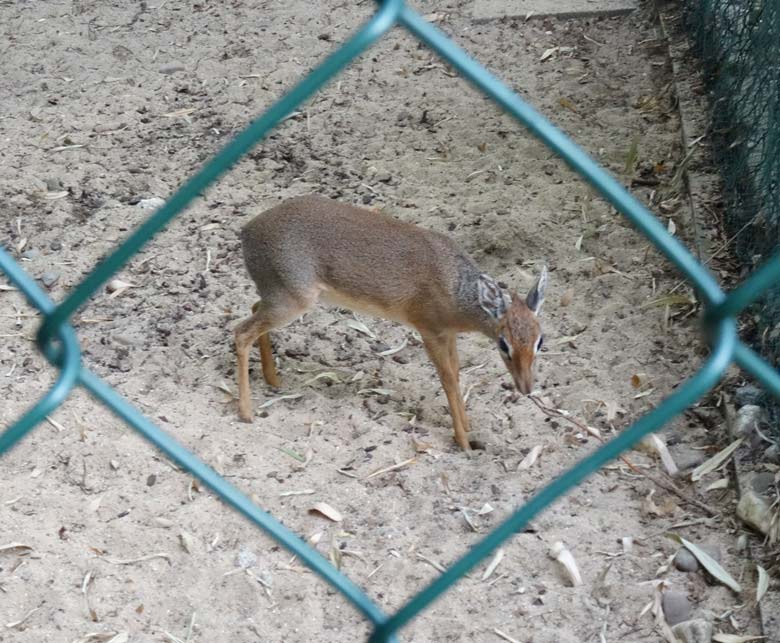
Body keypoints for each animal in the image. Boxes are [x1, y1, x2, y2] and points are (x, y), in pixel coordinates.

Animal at [235, 194, 544, 450]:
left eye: (540, 341)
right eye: (504, 344)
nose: (527, 388)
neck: (455, 290)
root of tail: (247, 230)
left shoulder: (448, 334)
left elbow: (456, 373)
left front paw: (468, 428)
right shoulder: (429, 331)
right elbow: (447, 380)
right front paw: (464, 441)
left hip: (281, 298)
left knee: (252, 310)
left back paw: (273, 379)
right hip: (293, 301)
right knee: (240, 332)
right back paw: (247, 413)